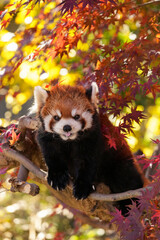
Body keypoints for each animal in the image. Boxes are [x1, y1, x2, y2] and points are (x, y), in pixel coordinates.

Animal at [33, 82, 145, 216]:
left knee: (126, 181)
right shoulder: (48, 140)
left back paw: (128, 206)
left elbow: (87, 163)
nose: (67, 127)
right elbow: (52, 156)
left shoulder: (93, 139)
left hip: (119, 161)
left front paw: (82, 187)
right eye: (56, 117)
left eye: (76, 116)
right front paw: (57, 177)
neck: (69, 141)